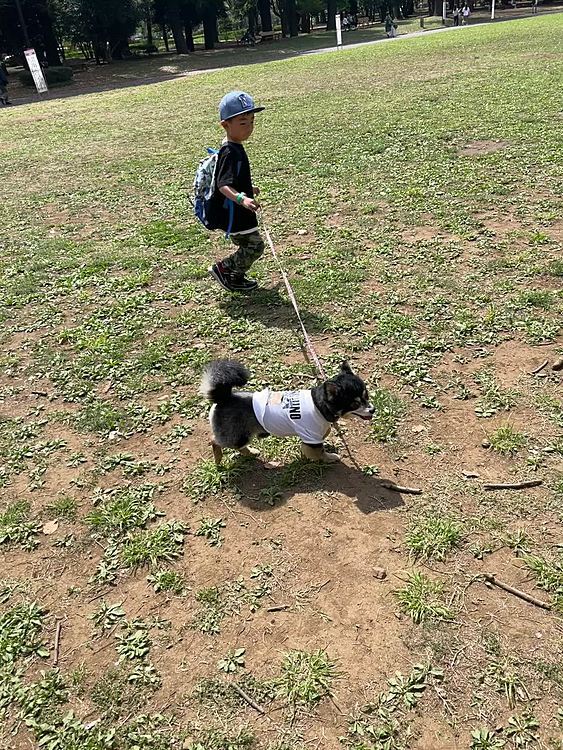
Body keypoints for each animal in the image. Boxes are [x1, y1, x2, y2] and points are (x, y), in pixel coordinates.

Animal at [199, 358, 374, 464]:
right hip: (236, 436)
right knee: (214, 440)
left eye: (367, 396)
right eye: (355, 403)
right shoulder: (312, 437)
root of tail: (223, 398)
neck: (319, 405)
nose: (373, 409)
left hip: (243, 436)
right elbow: (320, 452)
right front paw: (330, 457)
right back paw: (218, 458)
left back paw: (252, 452)